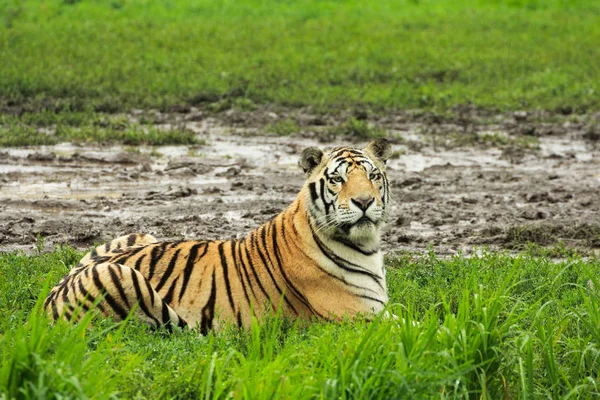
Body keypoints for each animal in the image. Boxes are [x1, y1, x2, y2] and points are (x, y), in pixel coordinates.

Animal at [45, 139, 394, 332]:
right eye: (337, 179)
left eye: (373, 176)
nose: (365, 201)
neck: (366, 245)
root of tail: (47, 303)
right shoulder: (362, 318)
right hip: (119, 276)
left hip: (138, 235)